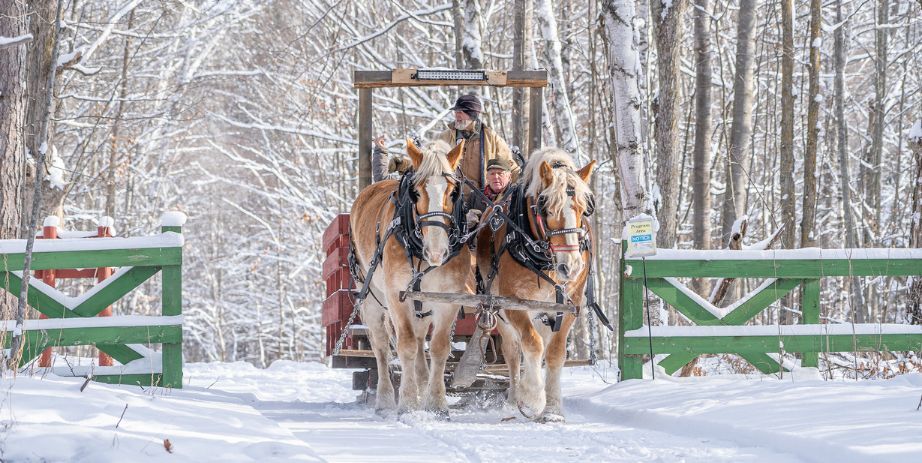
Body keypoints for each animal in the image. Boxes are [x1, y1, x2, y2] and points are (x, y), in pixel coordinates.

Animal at [348, 138, 470, 416]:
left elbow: (438, 347)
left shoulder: (448, 297)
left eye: (453, 192)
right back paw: (384, 399)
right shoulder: (397, 295)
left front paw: (436, 403)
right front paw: (407, 402)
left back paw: (422, 385)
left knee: (420, 337)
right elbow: (405, 345)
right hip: (371, 295)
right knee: (382, 345)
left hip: (422, 303)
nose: (437, 252)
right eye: (416, 192)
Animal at [478, 149, 592, 424]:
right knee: (511, 351)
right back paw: (513, 400)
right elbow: (531, 344)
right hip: (500, 311)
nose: (571, 266)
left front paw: (552, 409)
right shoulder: (513, 303)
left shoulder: (568, 306)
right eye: (547, 207)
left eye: (584, 209)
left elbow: (555, 353)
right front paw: (532, 397)